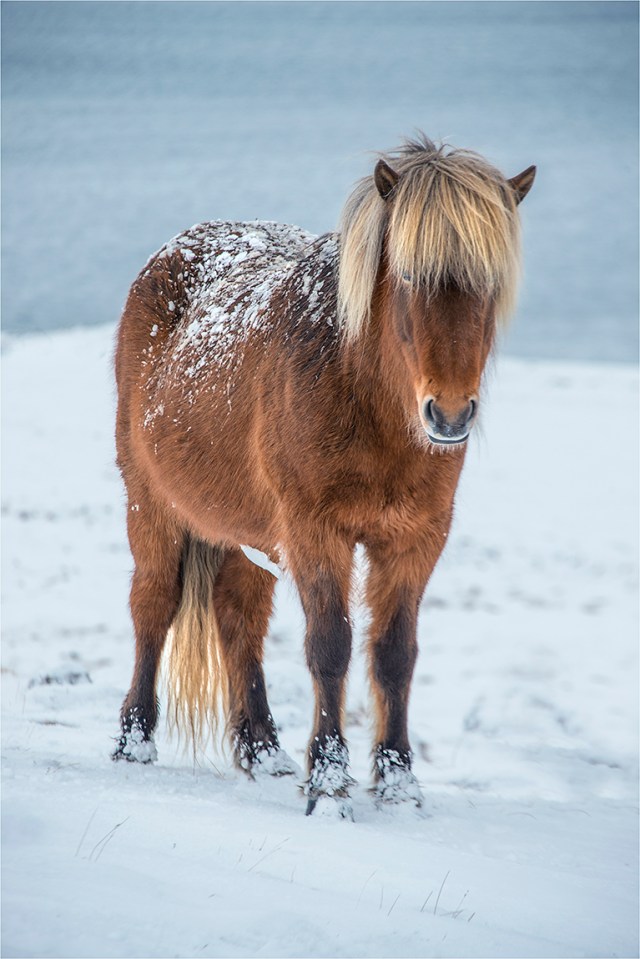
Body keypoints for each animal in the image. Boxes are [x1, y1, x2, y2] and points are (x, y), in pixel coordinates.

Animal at [113, 135, 535, 817]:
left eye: (490, 283)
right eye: (409, 275)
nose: (448, 414)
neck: (360, 391)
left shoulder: (416, 540)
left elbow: (395, 654)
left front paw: (398, 781)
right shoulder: (317, 532)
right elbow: (330, 646)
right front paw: (330, 783)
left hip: (250, 535)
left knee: (238, 617)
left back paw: (262, 750)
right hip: (151, 503)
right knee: (154, 605)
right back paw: (134, 740)